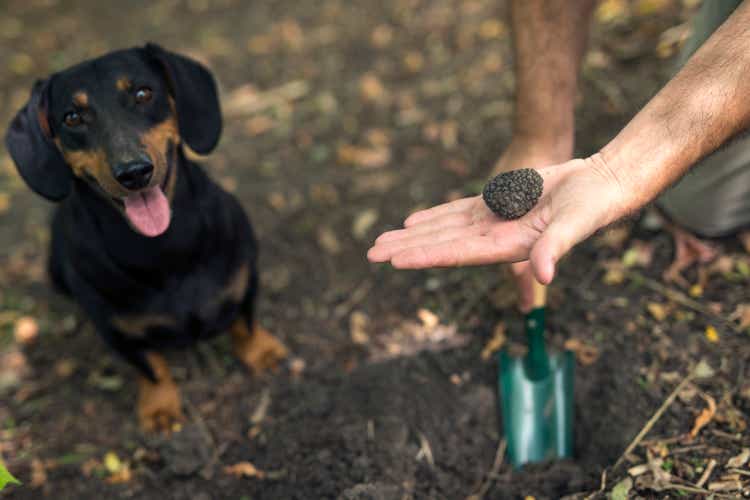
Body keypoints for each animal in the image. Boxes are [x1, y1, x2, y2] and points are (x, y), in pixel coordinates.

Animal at [5, 45, 288, 432]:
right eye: (72, 117)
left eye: (143, 94)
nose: (134, 173)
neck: (164, 249)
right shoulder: (118, 333)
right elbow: (151, 368)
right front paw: (160, 408)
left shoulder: (246, 280)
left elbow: (245, 324)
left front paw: (263, 353)